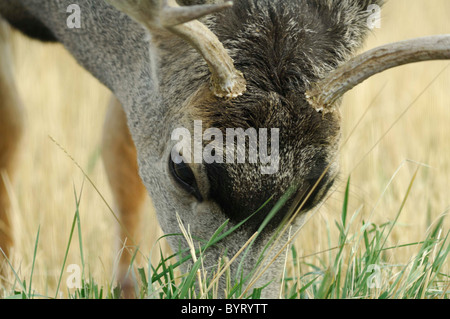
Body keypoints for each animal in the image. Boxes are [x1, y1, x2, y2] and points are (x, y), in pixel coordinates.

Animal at [0, 0, 448, 300]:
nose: (232, 292)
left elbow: (119, 146)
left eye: (321, 187)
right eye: (183, 170)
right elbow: (13, 125)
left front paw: (127, 284)